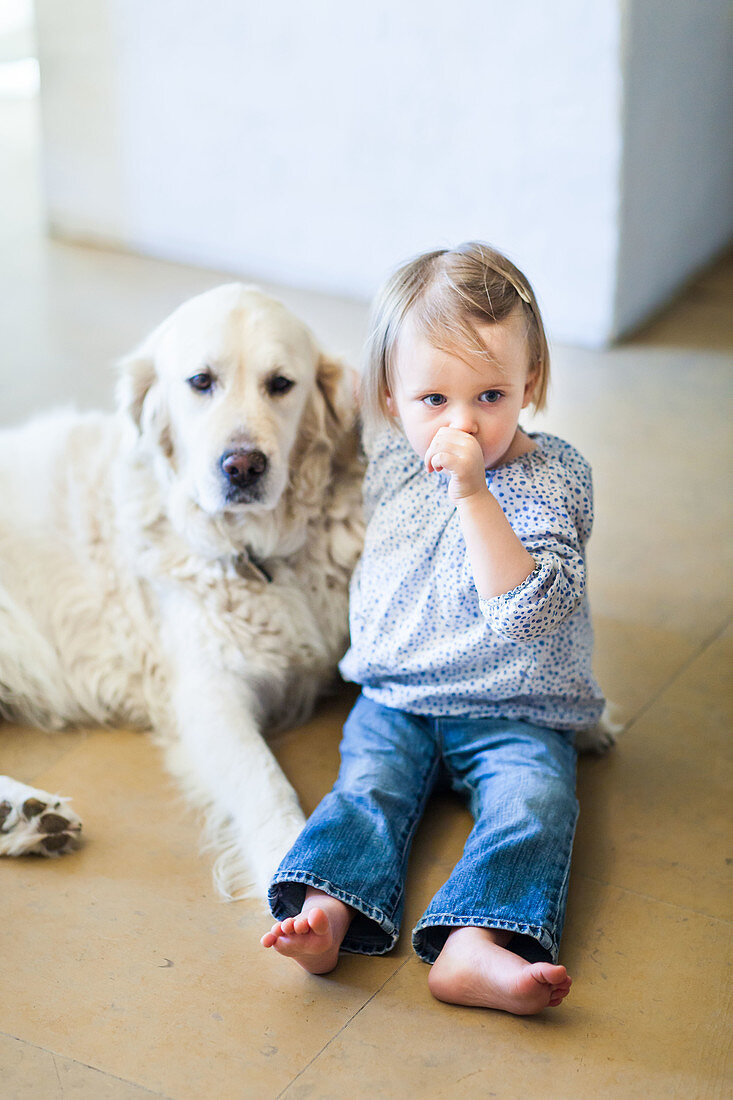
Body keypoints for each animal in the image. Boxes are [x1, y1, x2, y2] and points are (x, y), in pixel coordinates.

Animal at [0, 288, 363, 897]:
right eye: (201, 381)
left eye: (281, 384)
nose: (243, 466)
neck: (256, 554)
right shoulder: (208, 691)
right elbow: (264, 780)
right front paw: (288, 862)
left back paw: (25, 819)